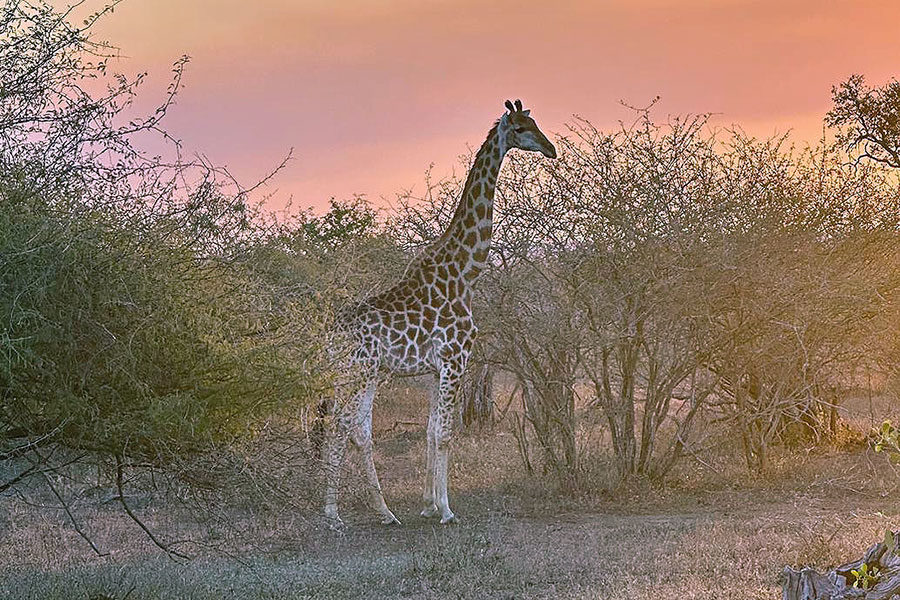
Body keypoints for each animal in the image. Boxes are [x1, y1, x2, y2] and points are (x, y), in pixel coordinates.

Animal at [316, 98, 556, 524]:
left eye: (535, 123)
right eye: (522, 128)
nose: (552, 149)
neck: (466, 270)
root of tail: (330, 334)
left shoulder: (432, 367)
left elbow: (430, 431)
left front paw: (428, 504)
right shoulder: (455, 358)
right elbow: (445, 433)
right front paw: (446, 509)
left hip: (363, 375)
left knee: (357, 429)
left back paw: (385, 512)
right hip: (356, 372)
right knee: (342, 426)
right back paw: (332, 514)